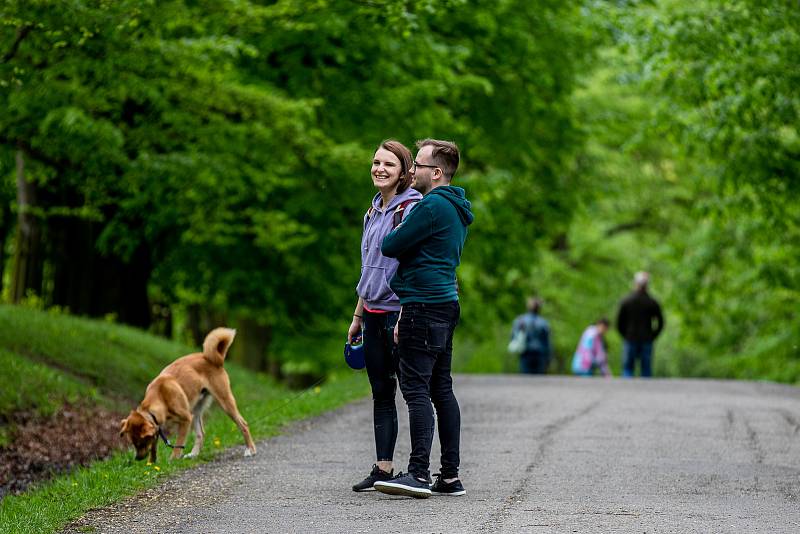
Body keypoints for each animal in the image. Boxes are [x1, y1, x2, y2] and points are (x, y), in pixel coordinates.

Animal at [119, 328, 256, 462]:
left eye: (141, 443)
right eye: (133, 443)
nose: (137, 458)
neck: (160, 396)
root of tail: (211, 359)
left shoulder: (186, 420)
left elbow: (179, 443)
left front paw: (173, 459)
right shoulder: (158, 427)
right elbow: (154, 447)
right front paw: (152, 463)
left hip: (224, 401)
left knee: (243, 424)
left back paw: (250, 449)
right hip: (196, 410)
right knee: (201, 434)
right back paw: (193, 454)